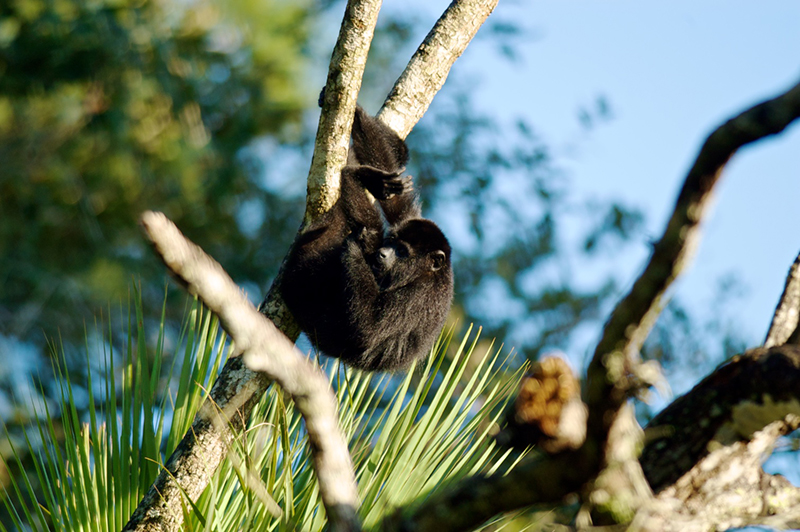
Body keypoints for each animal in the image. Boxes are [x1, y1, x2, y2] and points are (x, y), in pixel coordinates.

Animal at [282, 104, 454, 370]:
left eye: (402, 252)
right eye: (393, 243)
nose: (383, 253)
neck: (425, 272)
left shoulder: (420, 295)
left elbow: (369, 331)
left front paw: (356, 246)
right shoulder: (410, 220)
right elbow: (396, 203)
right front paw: (357, 114)